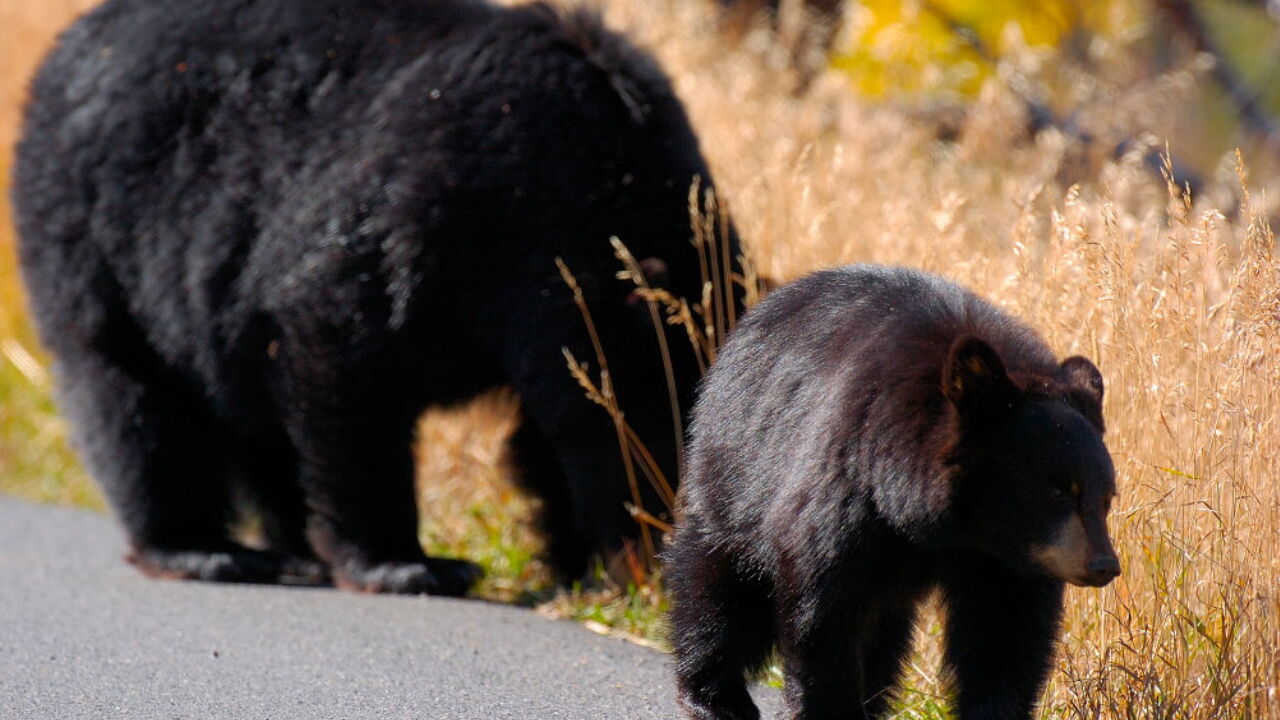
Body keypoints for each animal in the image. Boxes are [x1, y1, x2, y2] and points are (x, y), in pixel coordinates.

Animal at [15, 0, 727, 591]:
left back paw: (294, 550)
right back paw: (201, 549)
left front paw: (580, 562)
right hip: (99, 239)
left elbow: (547, 434)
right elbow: (342, 358)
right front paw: (410, 565)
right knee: (138, 399)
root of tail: (62, 49)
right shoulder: (435, 209)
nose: (665, 558)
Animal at [670, 265, 1121, 717]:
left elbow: (1003, 634)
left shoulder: (1007, 561)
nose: (1104, 565)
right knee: (718, 588)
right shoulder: (850, 486)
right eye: (1058, 490)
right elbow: (823, 609)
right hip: (737, 468)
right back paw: (713, 696)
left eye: (1106, 498)